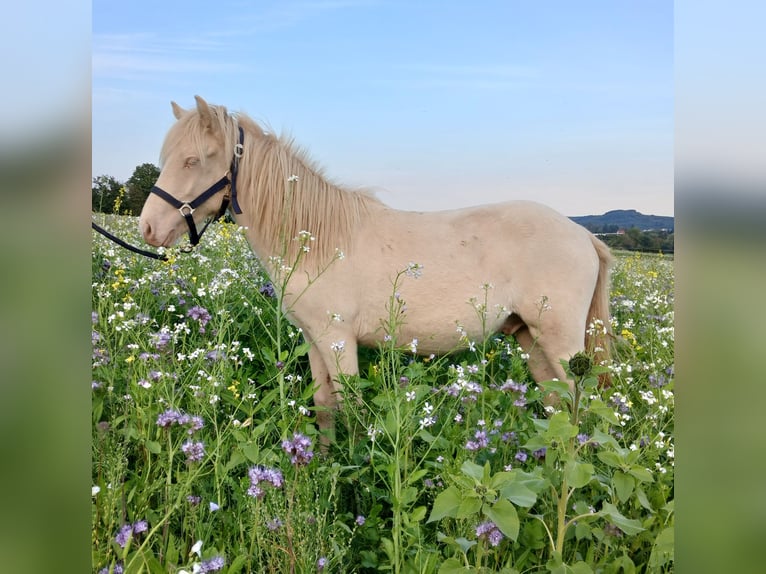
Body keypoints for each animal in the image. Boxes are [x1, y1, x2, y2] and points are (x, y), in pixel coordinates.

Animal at [139, 95, 612, 441]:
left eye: (194, 160)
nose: (148, 228)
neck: (318, 238)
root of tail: (583, 234)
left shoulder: (338, 339)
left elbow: (350, 408)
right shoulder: (315, 340)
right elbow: (325, 406)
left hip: (559, 342)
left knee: (580, 403)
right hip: (531, 339)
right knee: (557, 403)